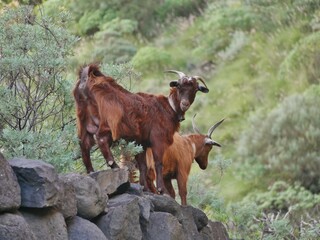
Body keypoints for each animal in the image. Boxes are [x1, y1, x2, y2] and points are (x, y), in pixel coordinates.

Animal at [73, 64, 210, 194]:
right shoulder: (158, 140)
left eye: (195, 89)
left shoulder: (141, 142)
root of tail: (87, 79)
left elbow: (143, 165)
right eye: (179, 86)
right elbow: (158, 163)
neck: (169, 108)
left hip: (83, 119)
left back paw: (91, 171)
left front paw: (145, 188)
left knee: (84, 143)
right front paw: (161, 190)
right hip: (108, 122)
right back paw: (115, 167)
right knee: (101, 139)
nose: (184, 104)